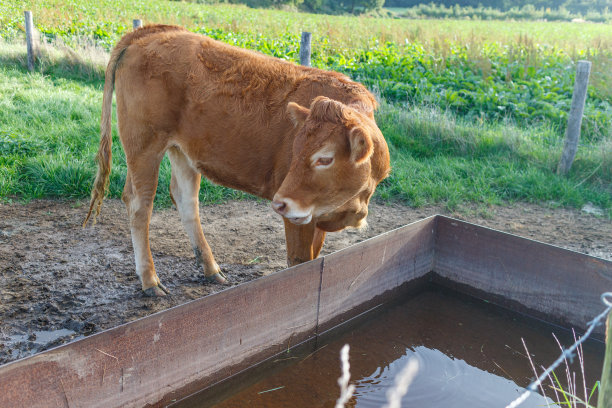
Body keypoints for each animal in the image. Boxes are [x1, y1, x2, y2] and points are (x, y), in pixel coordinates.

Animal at [83, 24, 390, 296]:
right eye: (295, 149)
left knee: (185, 200)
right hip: (144, 145)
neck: (354, 202)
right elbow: (300, 263)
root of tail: (154, 31)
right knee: (140, 204)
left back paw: (210, 268)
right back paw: (150, 281)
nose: (279, 202)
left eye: (325, 158)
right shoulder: (299, 218)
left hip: (182, 150)